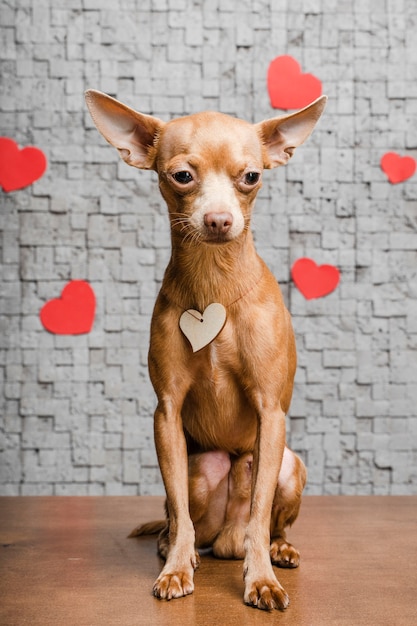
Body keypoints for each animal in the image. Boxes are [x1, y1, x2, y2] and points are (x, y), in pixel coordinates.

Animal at [84, 92, 324, 608]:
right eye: (182, 176)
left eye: (251, 176)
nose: (218, 220)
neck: (214, 283)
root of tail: (225, 540)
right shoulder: (167, 414)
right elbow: (177, 508)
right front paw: (176, 567)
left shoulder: (270, 413)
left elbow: (259, 513)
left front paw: (261, 579)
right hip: (201, 466)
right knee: (182, 519)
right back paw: (178, 548)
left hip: (289, 466)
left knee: (261, 522)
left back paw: (278, 549)